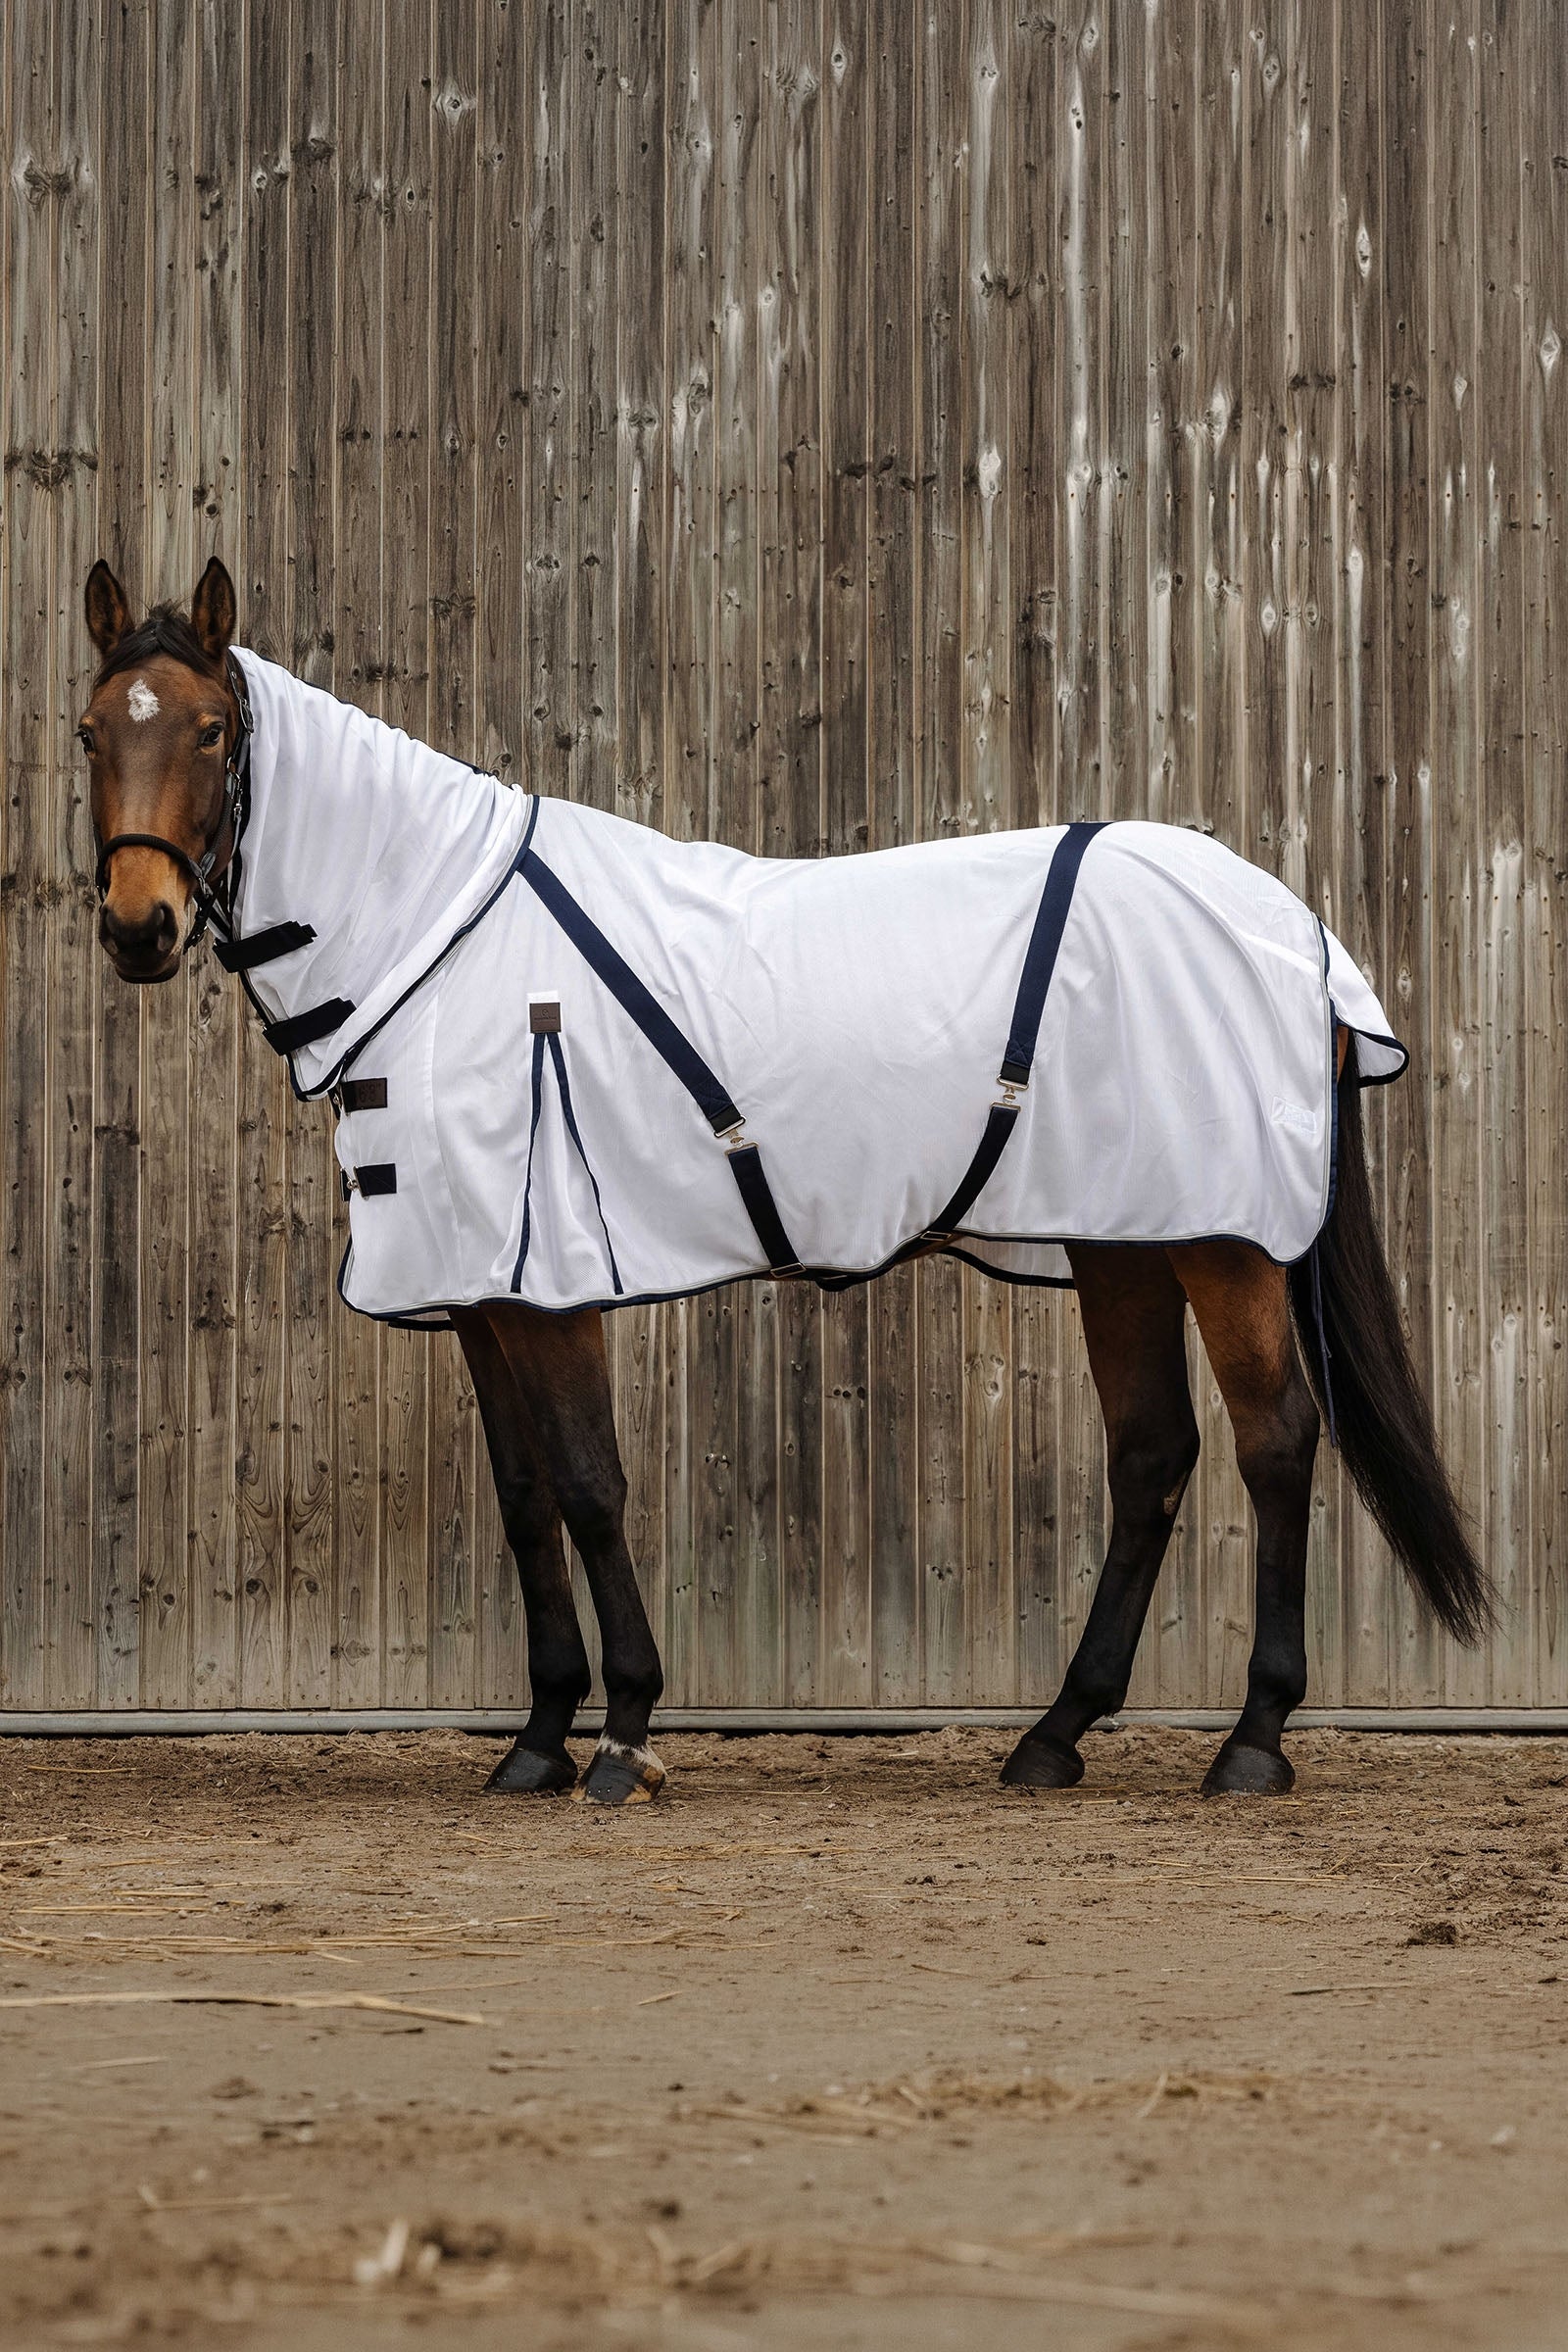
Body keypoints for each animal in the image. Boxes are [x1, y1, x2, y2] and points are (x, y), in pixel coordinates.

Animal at [79, 555, 1488, 1805]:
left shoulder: (551, 1285)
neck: (447, 943)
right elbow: (526, 1499)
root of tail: (1292, 928)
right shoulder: (481, 1291)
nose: (138, 928)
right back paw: (1054, 1736)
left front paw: (622, 1737)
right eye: (92, 729)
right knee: (1151, 1454)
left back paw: (1251, 1743)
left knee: (1275, 1442)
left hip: (1224, 1243)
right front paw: (535, 1740)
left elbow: (589, 1486)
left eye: (211, 729)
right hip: (1123, 1239)